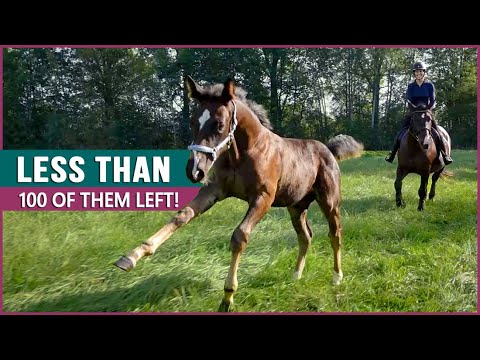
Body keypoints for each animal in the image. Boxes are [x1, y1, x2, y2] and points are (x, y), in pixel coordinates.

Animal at [116, 75, 364, 310]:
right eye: (193, 121)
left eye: (219, 123)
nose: (194, 170)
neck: (244, 153)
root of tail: (329, 149)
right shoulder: (214, 190)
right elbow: (182, 216)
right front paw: (131, 257)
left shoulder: (263, 198)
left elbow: (240, 235)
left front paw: (228, 297)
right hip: (296, 207)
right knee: (305, 237)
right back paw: (296, 275)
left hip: (329, 202)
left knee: (335, 233)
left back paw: (336, 277)